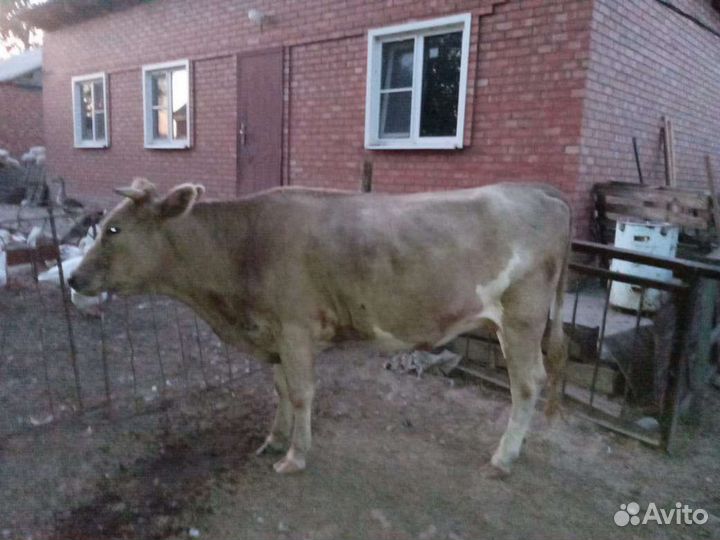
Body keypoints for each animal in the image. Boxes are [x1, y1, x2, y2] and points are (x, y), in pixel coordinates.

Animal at [69, 177, 571, 476]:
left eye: (113, 230)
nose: (73, 278)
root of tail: (537, 191)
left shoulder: (294, 328)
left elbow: (300, 392)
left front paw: (295, 455)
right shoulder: (271, 330)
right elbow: (278, 389)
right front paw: (273, 440)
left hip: (522, 317)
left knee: (528, 382)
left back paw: (503, 456)